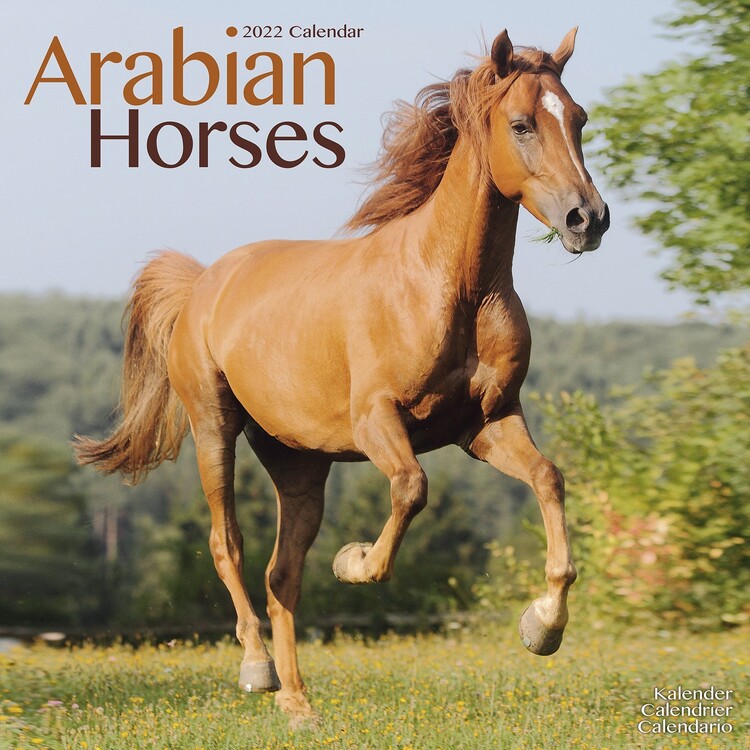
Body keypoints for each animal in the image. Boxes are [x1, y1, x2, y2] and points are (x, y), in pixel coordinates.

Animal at [75, 27, 609, 723]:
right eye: (521, 124)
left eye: (578, 119)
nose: (587, 219)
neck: (452, 288)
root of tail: (203, 283)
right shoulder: (378, 421)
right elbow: (411, 488)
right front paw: (354, 562)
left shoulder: (486, 423)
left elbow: (548, 478)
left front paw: (541, 628)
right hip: (213, 427)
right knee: (229, 544)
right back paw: (258, 670)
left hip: (300, 463)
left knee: (282, 575)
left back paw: (298, 704)